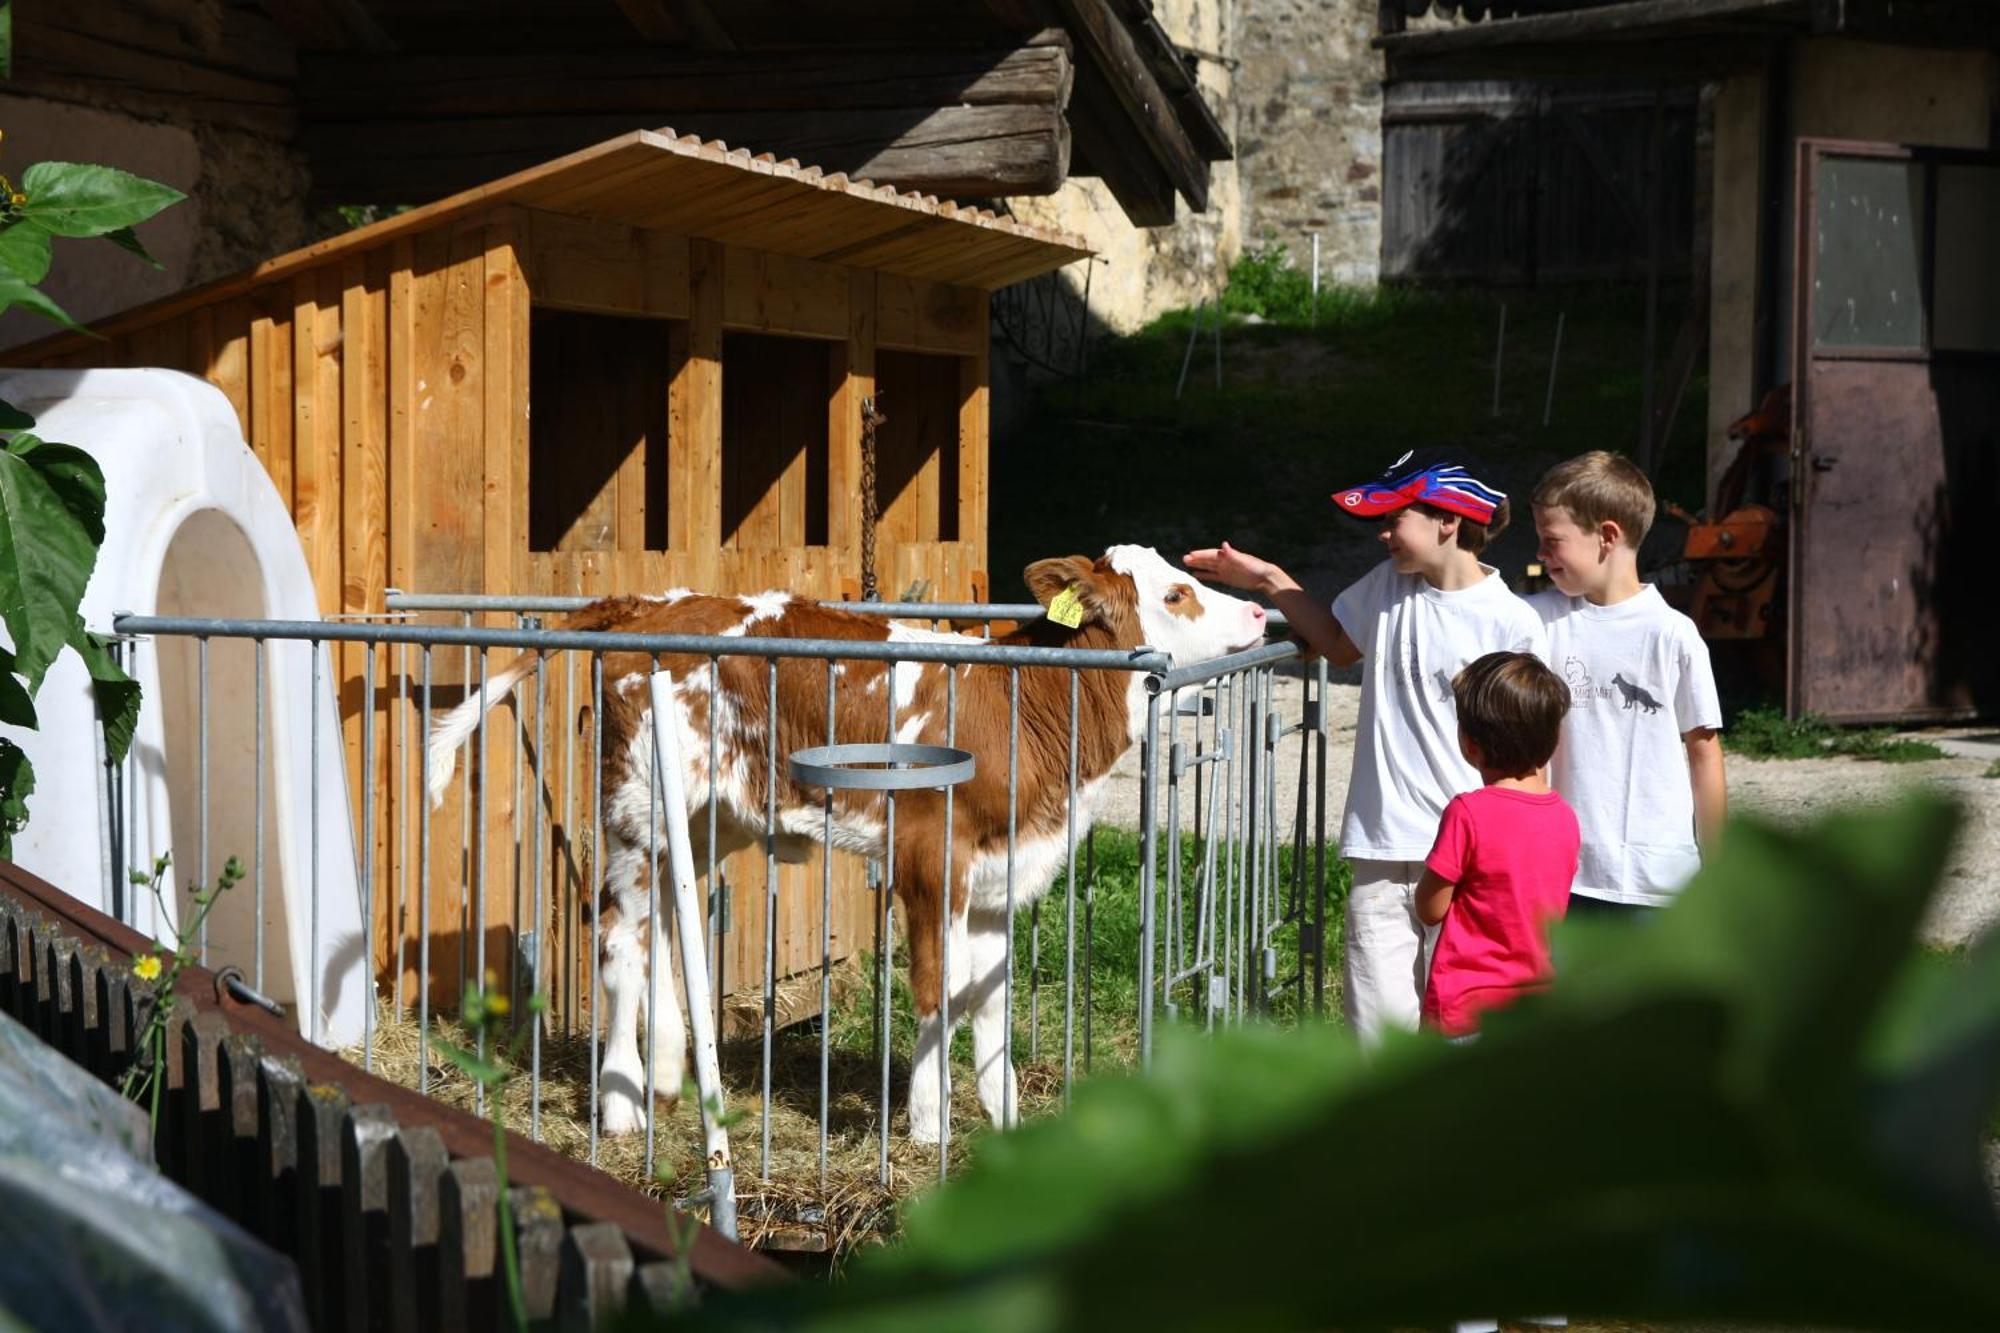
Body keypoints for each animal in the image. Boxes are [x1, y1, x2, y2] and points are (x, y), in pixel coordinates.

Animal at [426, 544, 1264, 1136]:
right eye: (1175, 594)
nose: (1259, 616)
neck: (1021, 703)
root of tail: (649, 604)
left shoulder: (1002, 868)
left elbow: (991, 996)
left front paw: (1004, 1118)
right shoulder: (929, 852)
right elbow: (937, 986)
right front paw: (927, 1124)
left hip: (706, 817)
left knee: (664, 922)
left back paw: (664, 1079)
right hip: (639, 803)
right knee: (617, 940)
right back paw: (621, 1106)